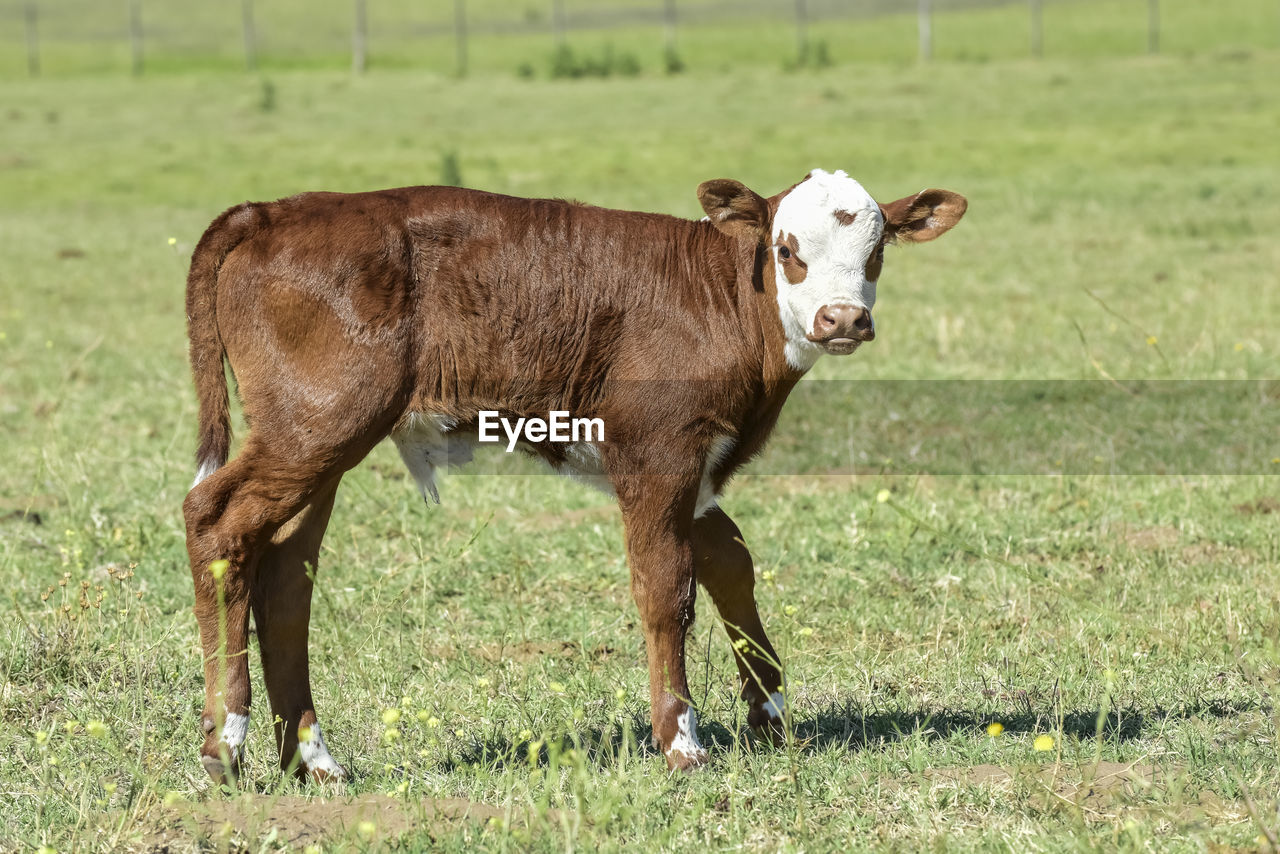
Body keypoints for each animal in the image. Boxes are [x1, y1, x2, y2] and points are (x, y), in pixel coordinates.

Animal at [177, 166, 962, 783]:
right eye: (786, 250)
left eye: (876, 251)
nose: (842, 319)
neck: (721, 299)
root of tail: (276, 210)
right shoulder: (656, 451)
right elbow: (665, 588)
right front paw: (680, 740)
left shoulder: (698, 466)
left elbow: (731, 568)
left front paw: (768, 712)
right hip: (319, 422)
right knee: (216, 521)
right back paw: (226, 745)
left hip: (319, 440)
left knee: (285, 575)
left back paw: (313, 758)